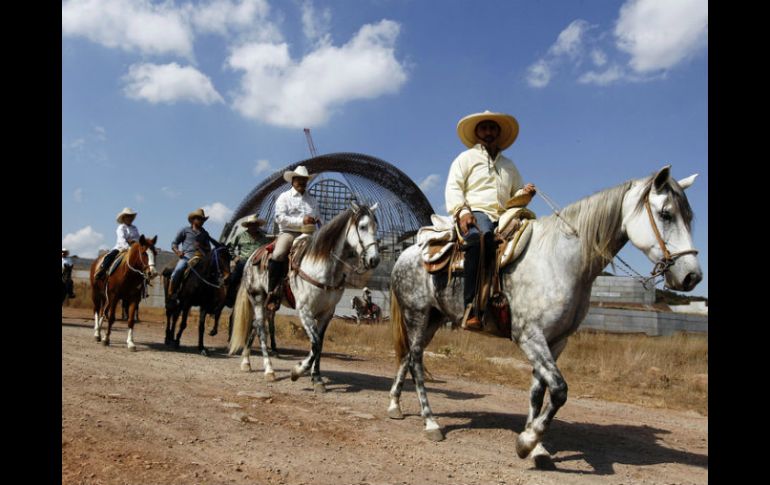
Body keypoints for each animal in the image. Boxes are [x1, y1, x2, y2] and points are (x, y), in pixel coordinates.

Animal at [230, 200, 382, 390]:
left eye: (375, 226)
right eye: (362, 226)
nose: (374, 260)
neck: (323, 267)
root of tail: (251, 258)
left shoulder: (327, 313)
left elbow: (319, 344)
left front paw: (316, 378)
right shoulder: (305, 311)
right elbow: (315, 344)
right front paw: (297, 371)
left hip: (265, 304)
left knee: (255, 327)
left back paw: (246, 362)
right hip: (257, 299)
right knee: (261, 331)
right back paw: (269, 370)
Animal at [388, 165, 700, 466]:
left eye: (689, 216)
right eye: (666, 214)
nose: (692, 277)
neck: (561, 260)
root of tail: (406, 253)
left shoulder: (555, 340)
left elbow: (538, 391)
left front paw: (536, 446)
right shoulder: (530, 337)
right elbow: (559, 389)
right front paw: (527, 442)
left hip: (433, 319)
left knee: (408, 357)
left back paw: (394, 405)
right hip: (417, 314)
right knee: (416, 361)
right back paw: (430, 423)